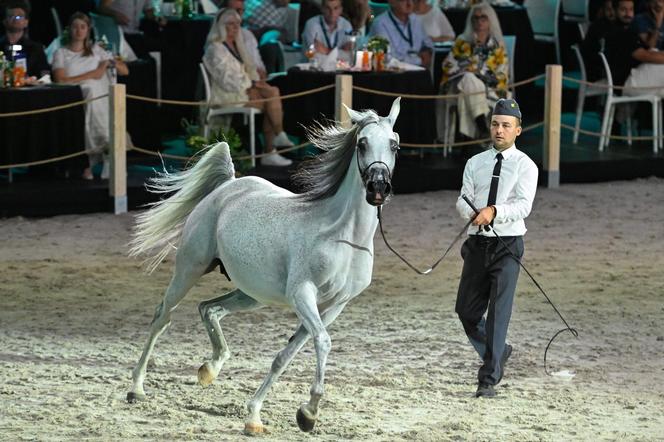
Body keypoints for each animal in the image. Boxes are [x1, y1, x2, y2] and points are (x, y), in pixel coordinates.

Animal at [127, 98, 402, 434]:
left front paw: (261, 415)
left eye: (394, 145)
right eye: (362, 144)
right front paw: (309, 412)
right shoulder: (302, 294)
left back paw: (210, 369)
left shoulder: (336, 304)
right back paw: (136, 388)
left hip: (251, 293)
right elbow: (323, 341)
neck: (342, 236)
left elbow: (288, 353)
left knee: (208, 308)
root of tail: (229, 185)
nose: (378, 187)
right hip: (189, 268)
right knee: (162, 317)